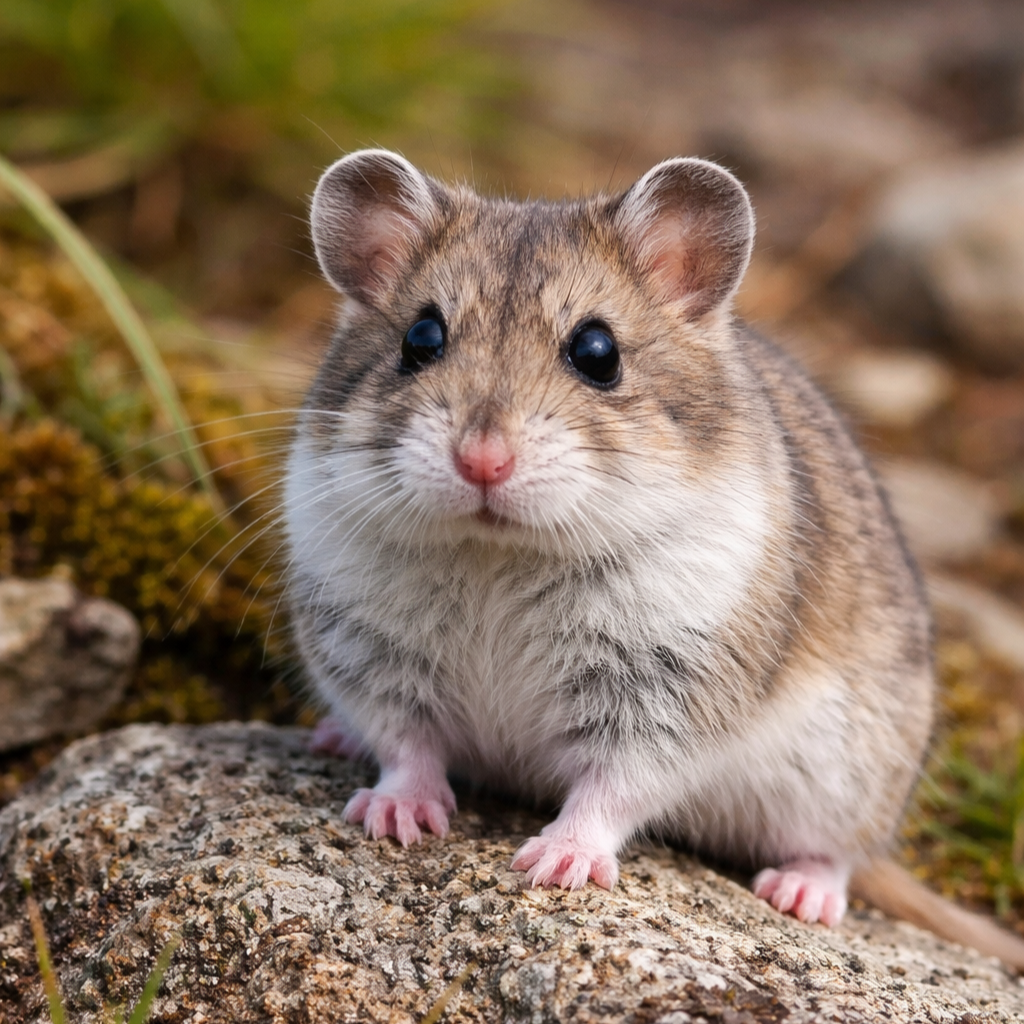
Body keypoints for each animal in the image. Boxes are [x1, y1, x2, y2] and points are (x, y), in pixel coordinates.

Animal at [284, 149, 937, 933]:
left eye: (597, 353)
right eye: (420, 340)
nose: (482, 462)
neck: (499, 553)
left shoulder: (664, 698)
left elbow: (610, 790)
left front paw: (555, 864)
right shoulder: (374, 657)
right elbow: (405, 747)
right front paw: (391, 818)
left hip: (841, 777)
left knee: (841, 853)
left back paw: (800, 893)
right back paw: (331, 735)